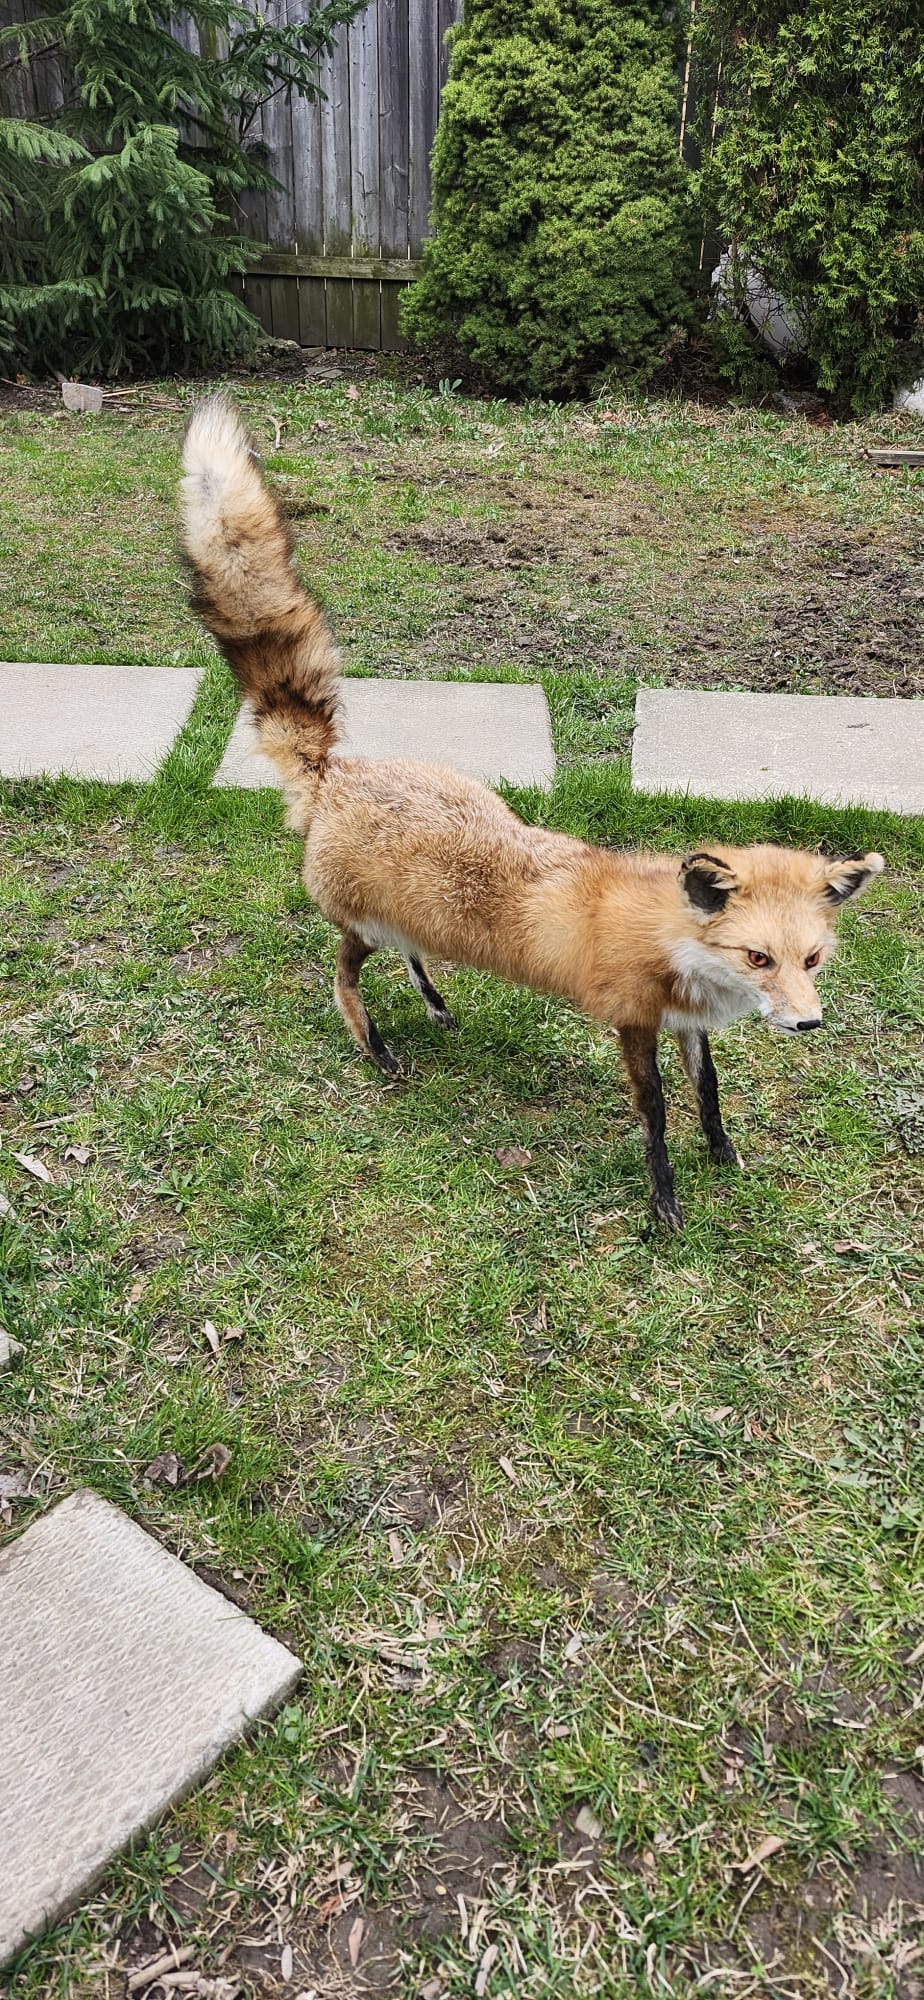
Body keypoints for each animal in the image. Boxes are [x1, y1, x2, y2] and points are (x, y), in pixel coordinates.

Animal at [180, 396, 884, 1230]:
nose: (809, 1023)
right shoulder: (633, 1022)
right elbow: (656, 1118)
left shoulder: (684, 1024)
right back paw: (375, 1047)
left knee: (412, 955)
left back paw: (435, 1005)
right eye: (758, 958)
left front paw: (722, 1153)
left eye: (810, 960)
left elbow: (708, 1093)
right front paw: (665, 1203)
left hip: (413, 912)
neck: (672, 944)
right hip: (361, 924)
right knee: (343, 977)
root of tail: (338, 771)